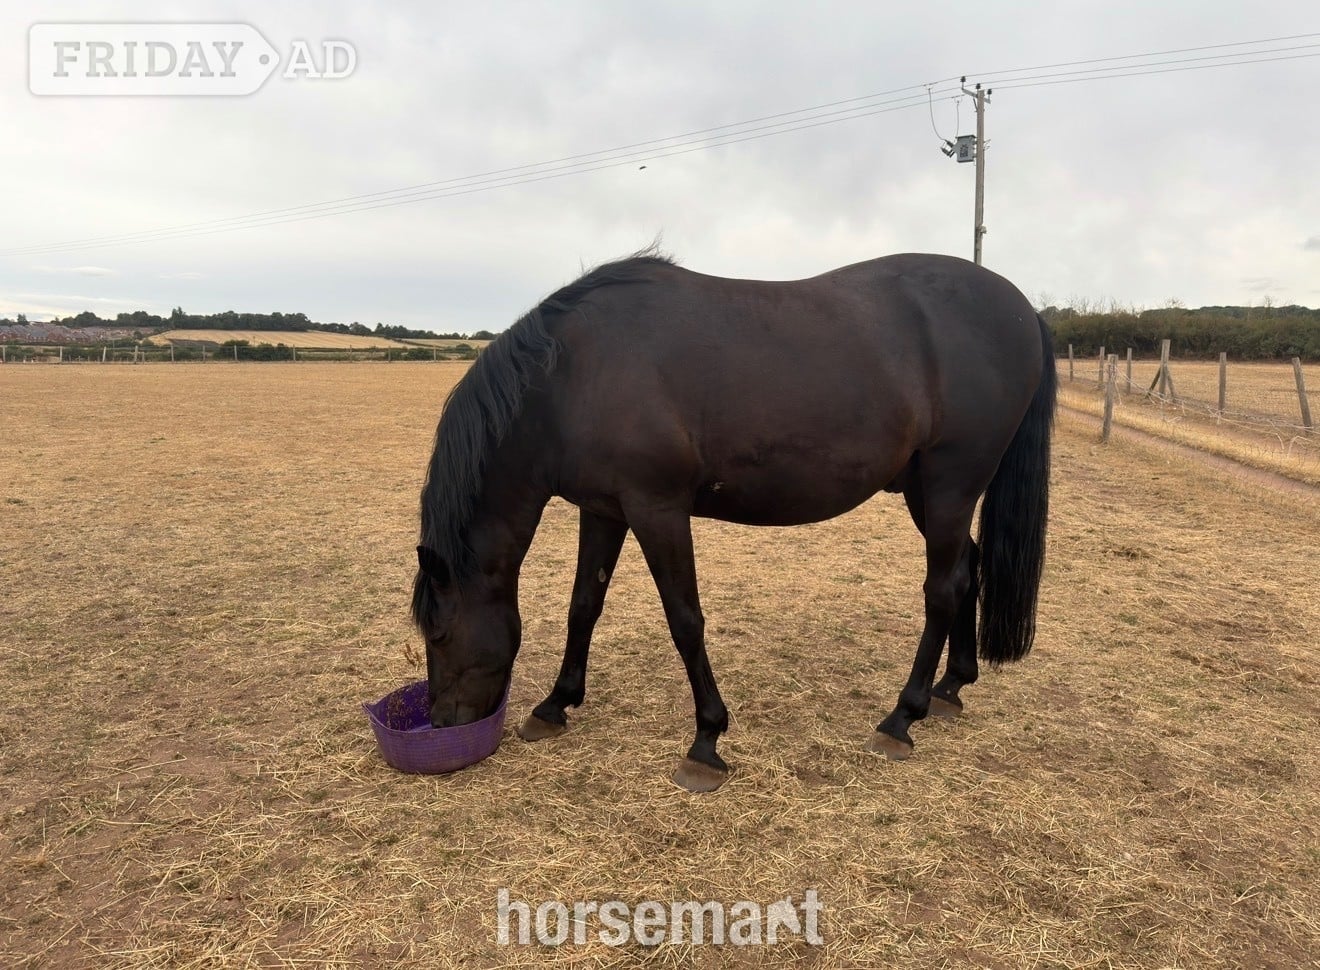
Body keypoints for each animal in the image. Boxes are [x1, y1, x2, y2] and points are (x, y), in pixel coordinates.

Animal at [412, 249, 1056, 792]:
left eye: (437, 634)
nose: (442, 722)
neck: (574, 375)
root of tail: (1021, 307)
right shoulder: (603, 510)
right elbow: (584, 606)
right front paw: (555, 705)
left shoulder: (657, 509)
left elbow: (685, 620)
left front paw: (706, 740)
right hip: (927, 492)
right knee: (969, 568)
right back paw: (951, 687)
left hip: (951, 484)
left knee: (943, 589)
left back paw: (902, 716)